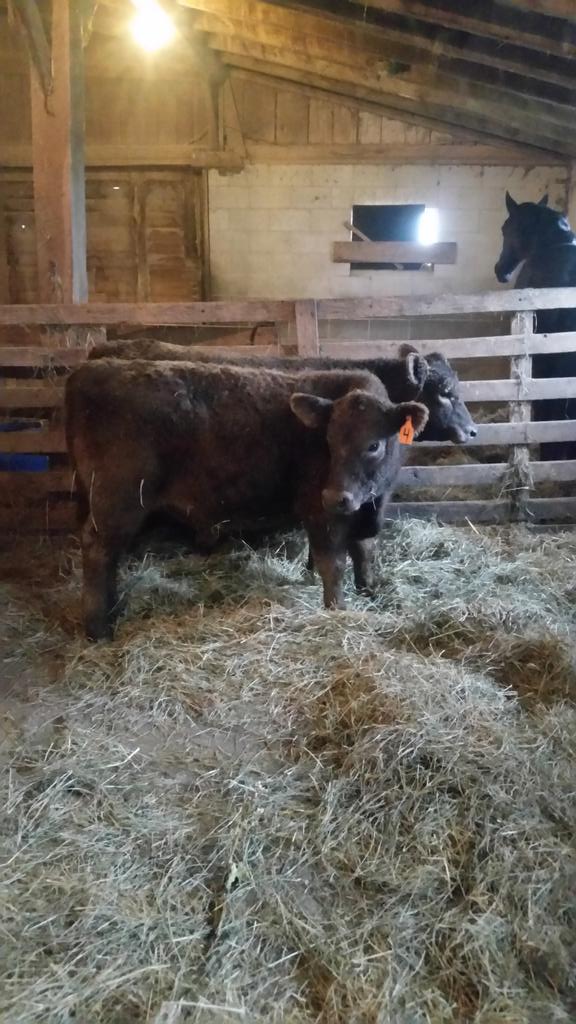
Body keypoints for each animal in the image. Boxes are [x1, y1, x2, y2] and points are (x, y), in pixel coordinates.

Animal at [65, 359, 429, 640]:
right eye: (328, 441)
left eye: (373, 445)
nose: (335, 496)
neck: (371, 504)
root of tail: (87, 370)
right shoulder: (319, 513)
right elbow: (333, 563)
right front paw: (337, 611)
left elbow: (365, 551)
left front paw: (370, 590)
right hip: (117, 500)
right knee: (98, 549)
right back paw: (99, 628)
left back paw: (112, 610)